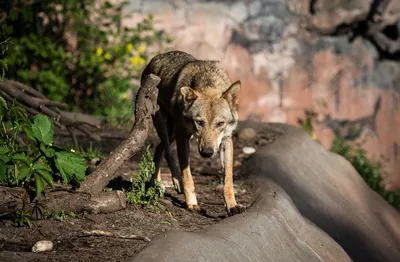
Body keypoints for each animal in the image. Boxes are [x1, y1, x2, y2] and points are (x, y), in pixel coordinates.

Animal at [141, 50, 244, 216]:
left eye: (220, 124)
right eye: (199, 122)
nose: (207, 152)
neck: (209, 84)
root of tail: (156, 57)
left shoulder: (227, 140)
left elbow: (228, 179)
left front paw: (232, 205)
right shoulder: (183, 136)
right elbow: (188, 175)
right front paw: (192, 203)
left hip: (173, 132)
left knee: (159, 148)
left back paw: (160, 182)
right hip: (165, 125)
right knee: (167, 150)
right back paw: (166, 182)